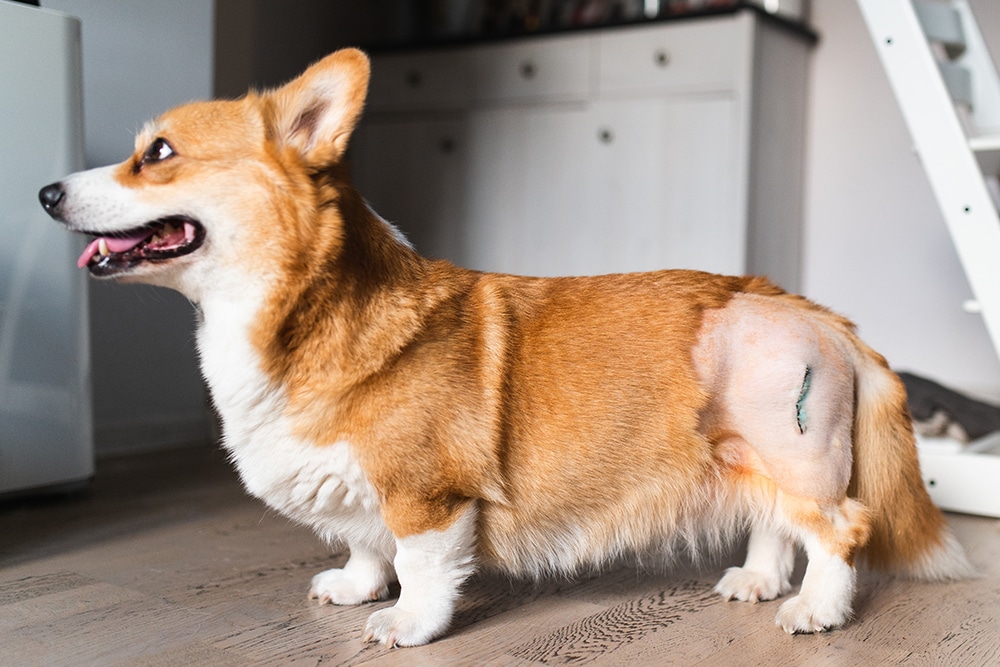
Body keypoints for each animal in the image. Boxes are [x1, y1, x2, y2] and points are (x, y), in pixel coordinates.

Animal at [39, 51, 968, 648]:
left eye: (157, 153)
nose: (45, 192)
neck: (293, 314)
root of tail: (823, 315)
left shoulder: (428, 493)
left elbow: (420, 564)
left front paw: (405, 623)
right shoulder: (363, 491)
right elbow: (364, 542)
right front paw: (353, 585)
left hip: (795, 444)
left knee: (840, 528)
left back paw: (816, 608)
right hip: (749, 453)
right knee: (777, 520)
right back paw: (760, 579)